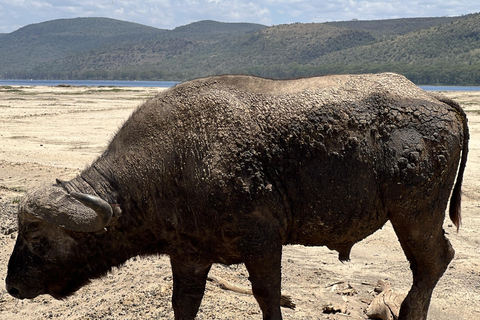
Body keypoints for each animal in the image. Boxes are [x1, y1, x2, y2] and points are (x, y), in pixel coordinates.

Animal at [5, 73, 466, 320]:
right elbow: (184, 303)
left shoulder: (262, 245)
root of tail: (436, 99)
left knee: (432, 263)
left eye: (38, 239)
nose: (12, 285)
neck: (174, 161)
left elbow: (268, 297)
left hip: (415, 216)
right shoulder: (189, 256)